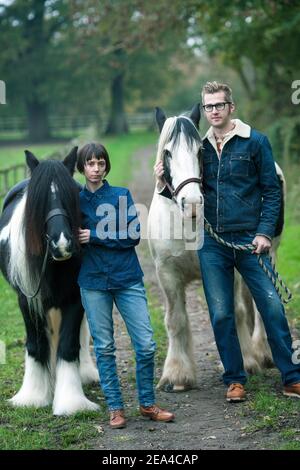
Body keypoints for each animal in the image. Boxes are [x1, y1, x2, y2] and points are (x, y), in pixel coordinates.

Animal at [0, 148, 98, 414]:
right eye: (39, 201)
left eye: (71, 195)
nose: (62, 243)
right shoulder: (27, 301)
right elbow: (35, 345)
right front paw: (32, 397)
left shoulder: (74, 299)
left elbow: (68, 345)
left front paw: (71, 402)